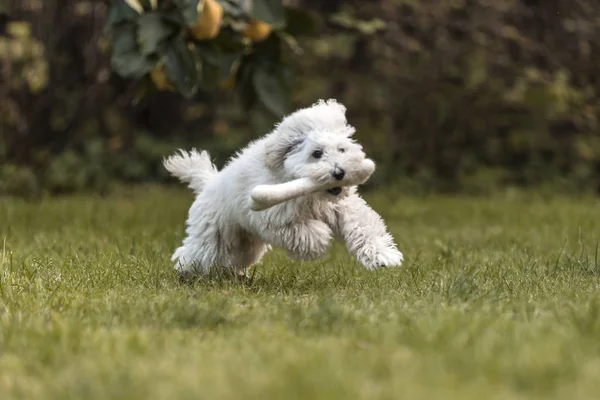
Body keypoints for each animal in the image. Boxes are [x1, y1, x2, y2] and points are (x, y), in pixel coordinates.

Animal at [164, 98, 404, 276]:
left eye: (341, 149)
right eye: (317, 153)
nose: (339, 173)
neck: (314, 195)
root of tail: (209, 182)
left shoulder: (344, 207)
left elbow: (364, 226)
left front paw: (383, 255)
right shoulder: (275, 218)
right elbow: (305, 232)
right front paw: (321, 238)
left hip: (245, 243)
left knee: (237, 257)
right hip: (214, 233)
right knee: (198, 252)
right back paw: (186, 273)